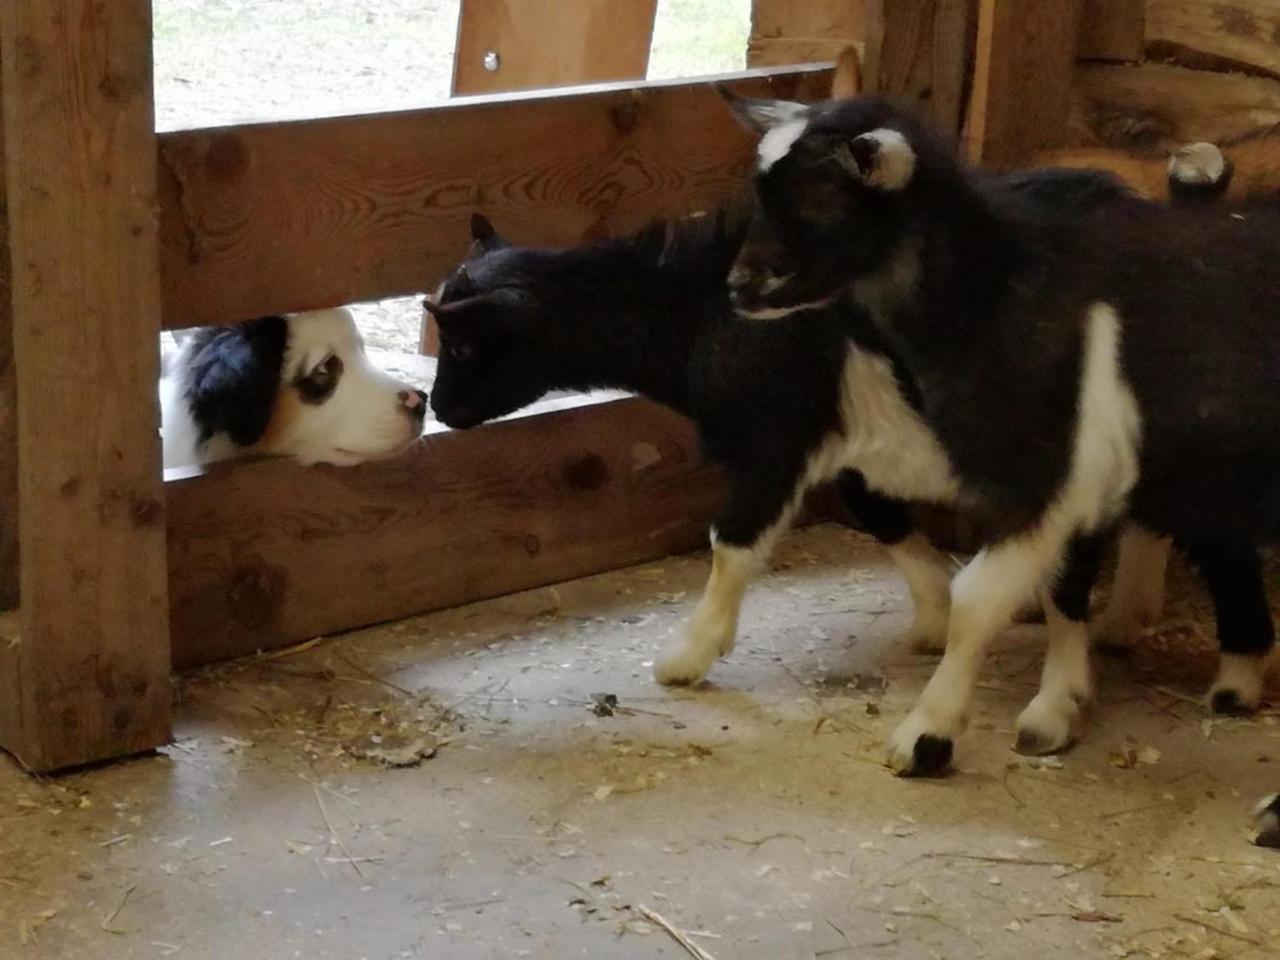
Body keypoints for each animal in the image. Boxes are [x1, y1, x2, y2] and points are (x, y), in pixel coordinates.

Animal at [721, 92, 1280, 783]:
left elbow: (977, 600)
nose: (739, 287)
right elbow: (1056, 586)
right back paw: (1236, 678)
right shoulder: (1051, 481)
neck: (991, 302)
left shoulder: (1046, 475)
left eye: (822, 199)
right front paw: (1056, 708)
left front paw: (927, 736)